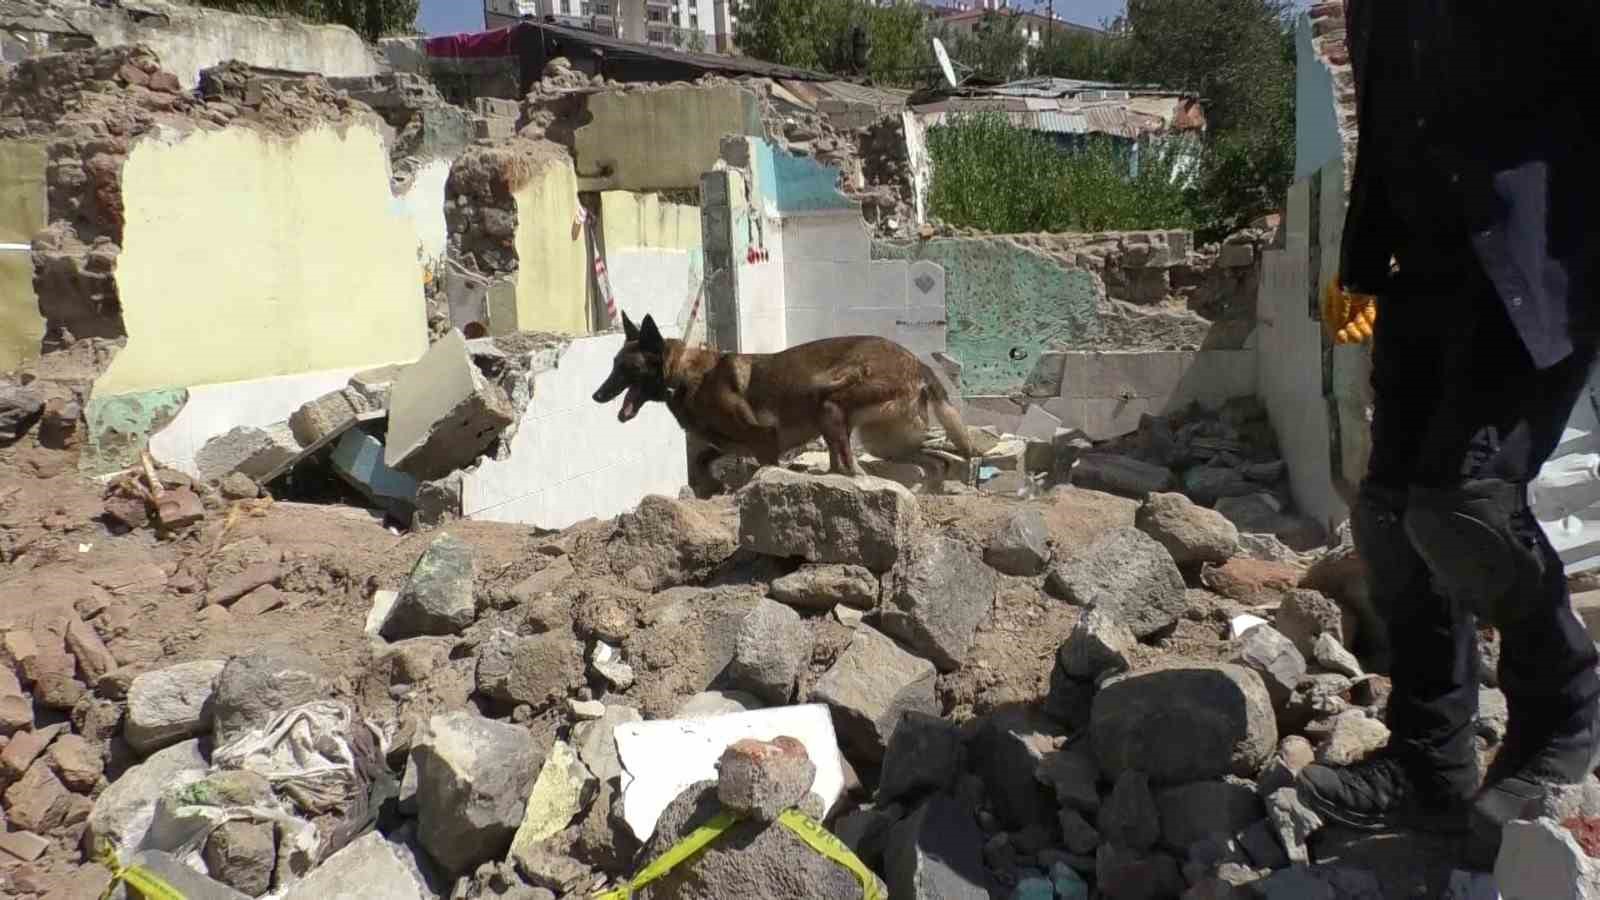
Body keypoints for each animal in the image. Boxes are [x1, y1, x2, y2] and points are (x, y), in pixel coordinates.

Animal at [592, 310, 972, 477]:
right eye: (612, 365)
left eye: (626, 368)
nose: (596, 396)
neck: (684, 376)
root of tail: (916, 361)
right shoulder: (727, 446)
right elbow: (702, 461)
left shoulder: (764, 441)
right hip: (882, 441)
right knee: (934, 460)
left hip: (831, 404)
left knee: (854, 468)